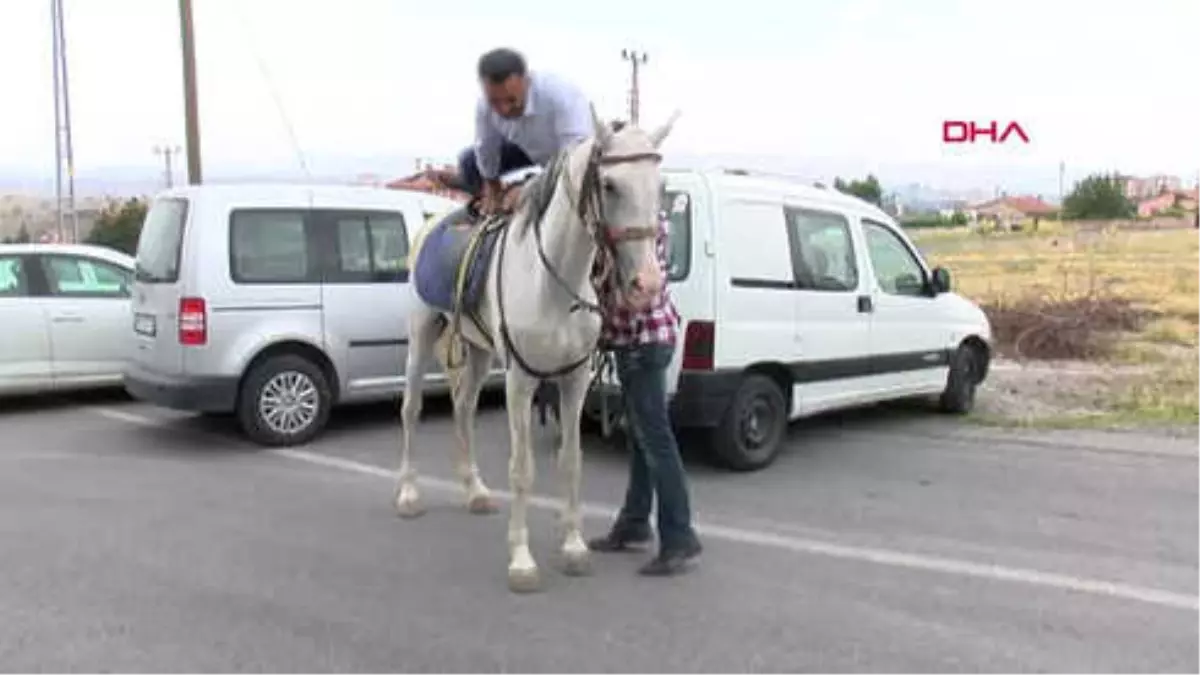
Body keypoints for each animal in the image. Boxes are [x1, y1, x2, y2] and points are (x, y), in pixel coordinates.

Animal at [393, 107, 676, 590]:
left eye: (658, 185)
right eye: (609, 185)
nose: (647, 284)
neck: (552, 282)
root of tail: (432, 221)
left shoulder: (574, 380)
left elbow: (571, 461)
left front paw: (574, 547)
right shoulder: (520, 383)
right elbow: (522, 469)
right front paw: (522, 561)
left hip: (479, 351)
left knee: (463, 407)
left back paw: (475, 490)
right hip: (421, 334)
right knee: (411, 409)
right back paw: (409, 493)